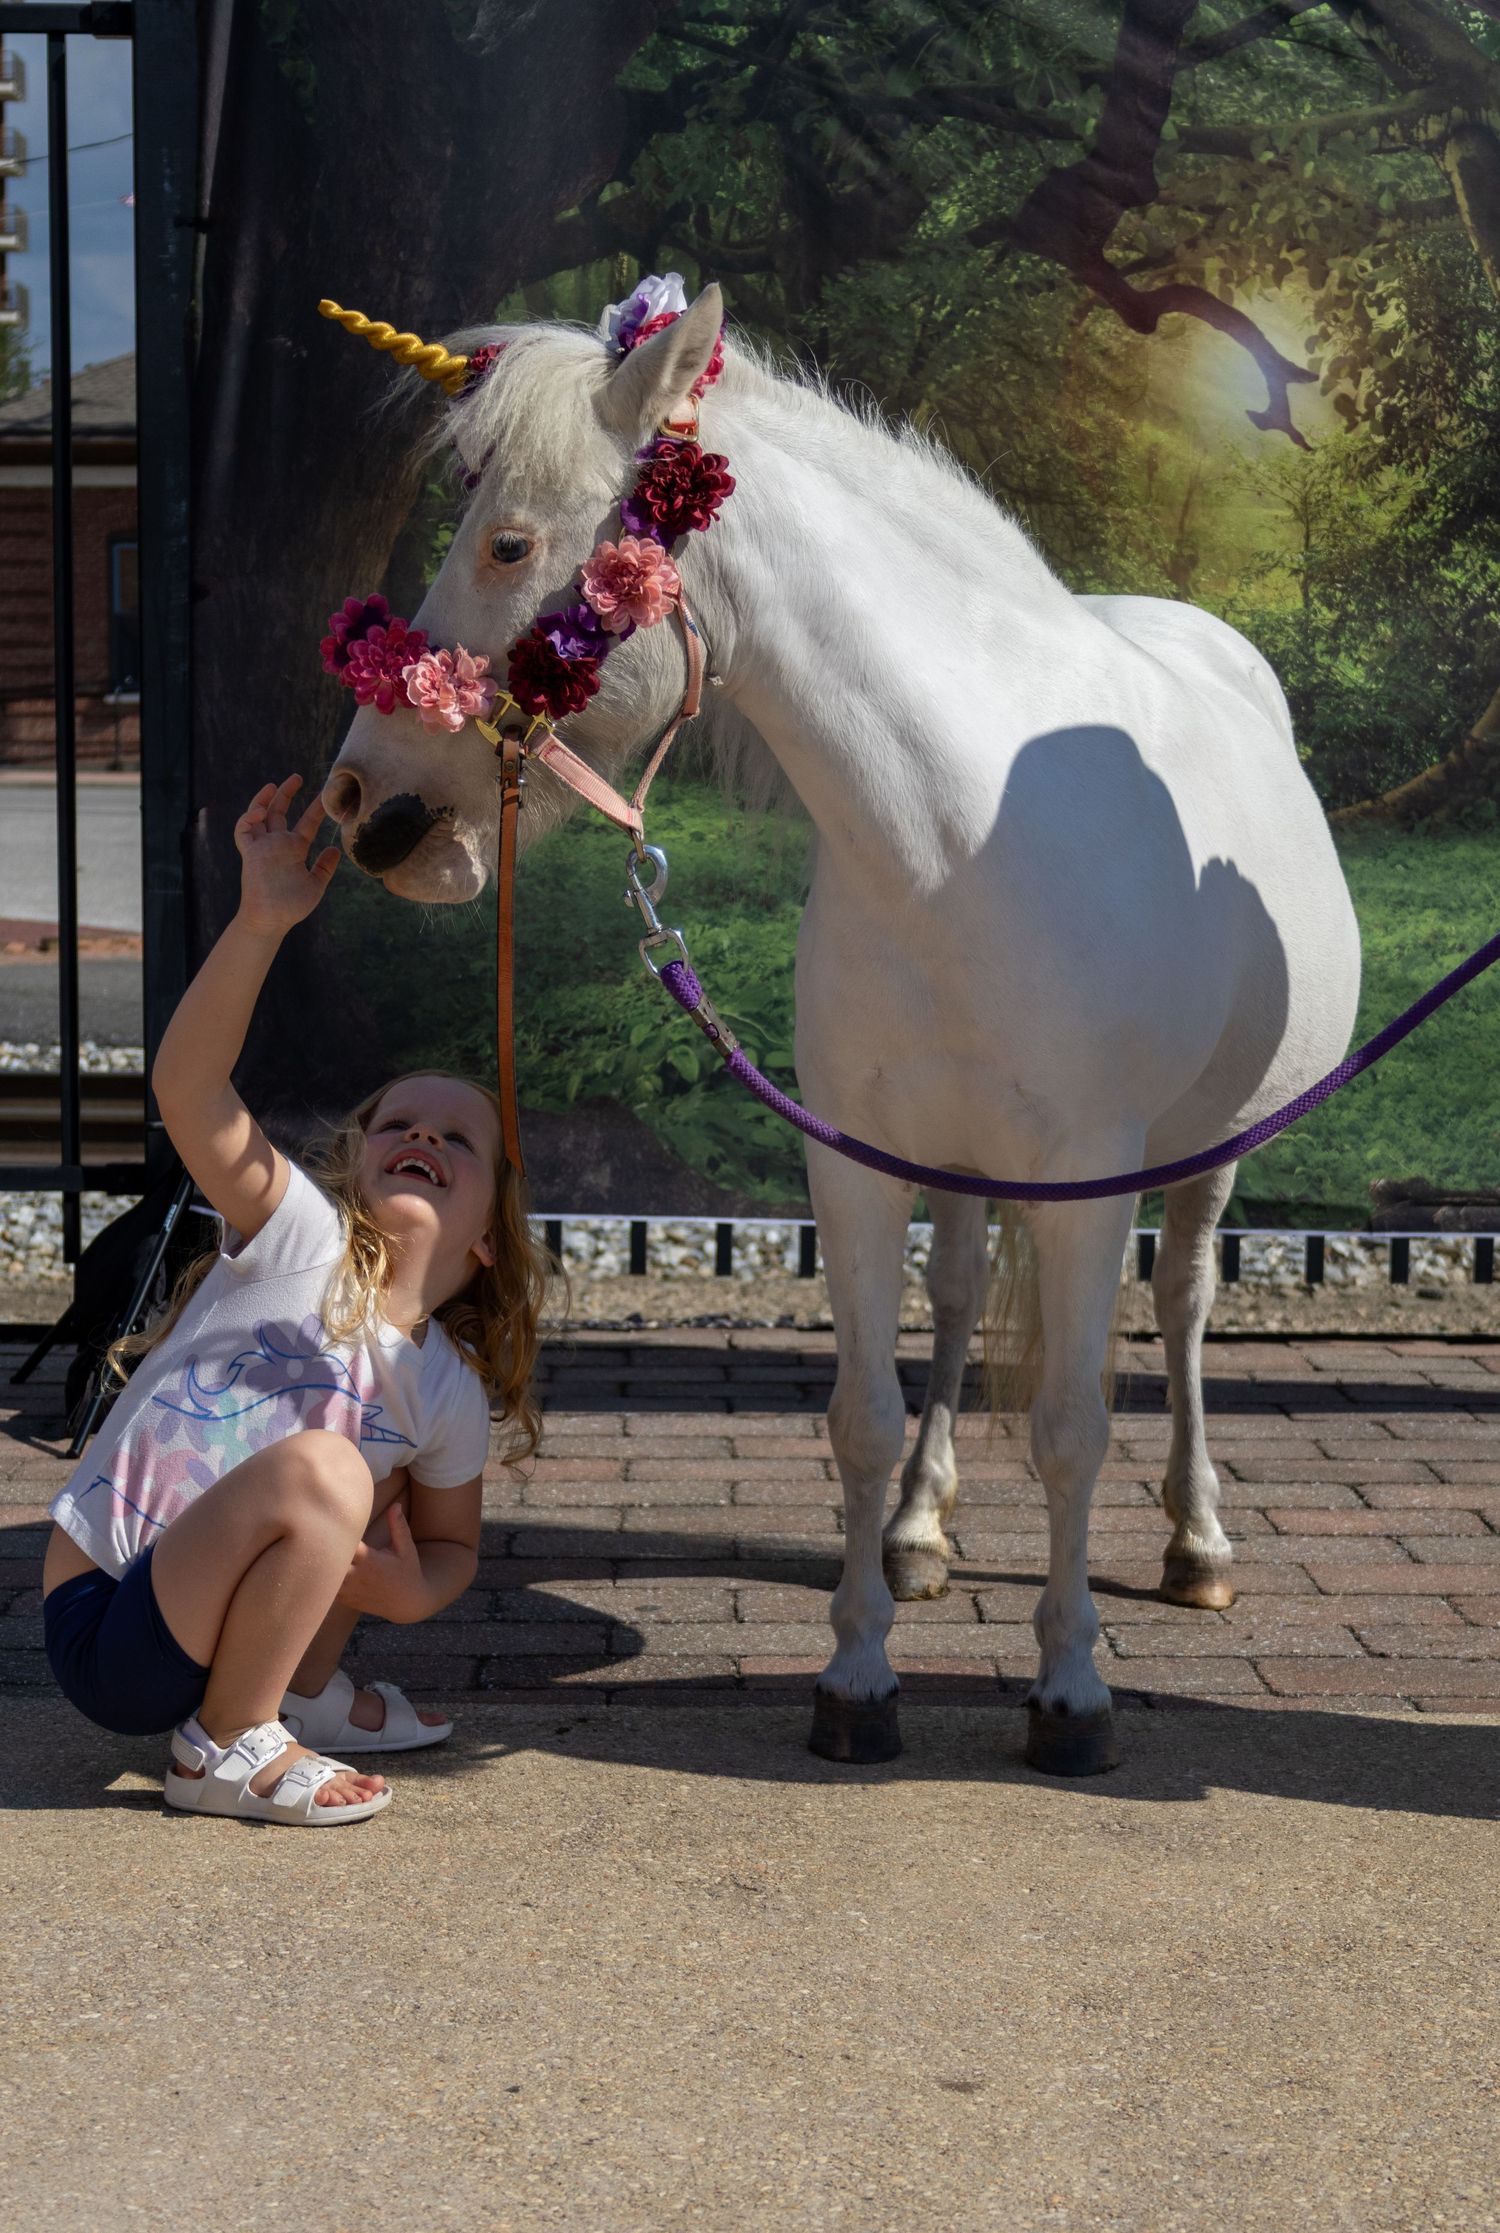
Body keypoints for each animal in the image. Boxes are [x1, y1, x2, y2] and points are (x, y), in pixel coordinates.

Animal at [321, 282, 1362, 1774]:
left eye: (511, 540)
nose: (370, 808)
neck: (967, 831)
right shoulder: (852, 1164)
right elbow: (862, 1417)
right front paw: (859, 1673)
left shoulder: (1089, 1180)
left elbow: (1072, 1425)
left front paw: (1072, 1691)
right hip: (960, 1162)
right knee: (963, 1296)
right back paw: (925, 1530)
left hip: (1207, 1151)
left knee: (1184, 1308)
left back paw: (1199, 1539)